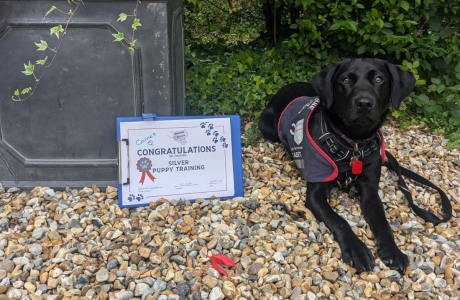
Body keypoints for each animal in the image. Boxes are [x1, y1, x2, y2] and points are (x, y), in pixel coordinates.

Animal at [258, 58, 416, 272]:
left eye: (379, 79)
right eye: (345, 79)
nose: (364, 103)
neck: (352, 144)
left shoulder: (370, 190)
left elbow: (382, 222)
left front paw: (393, 251)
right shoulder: (316, 194)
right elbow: (339, 220)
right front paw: (357, 250)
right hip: (267, 128)